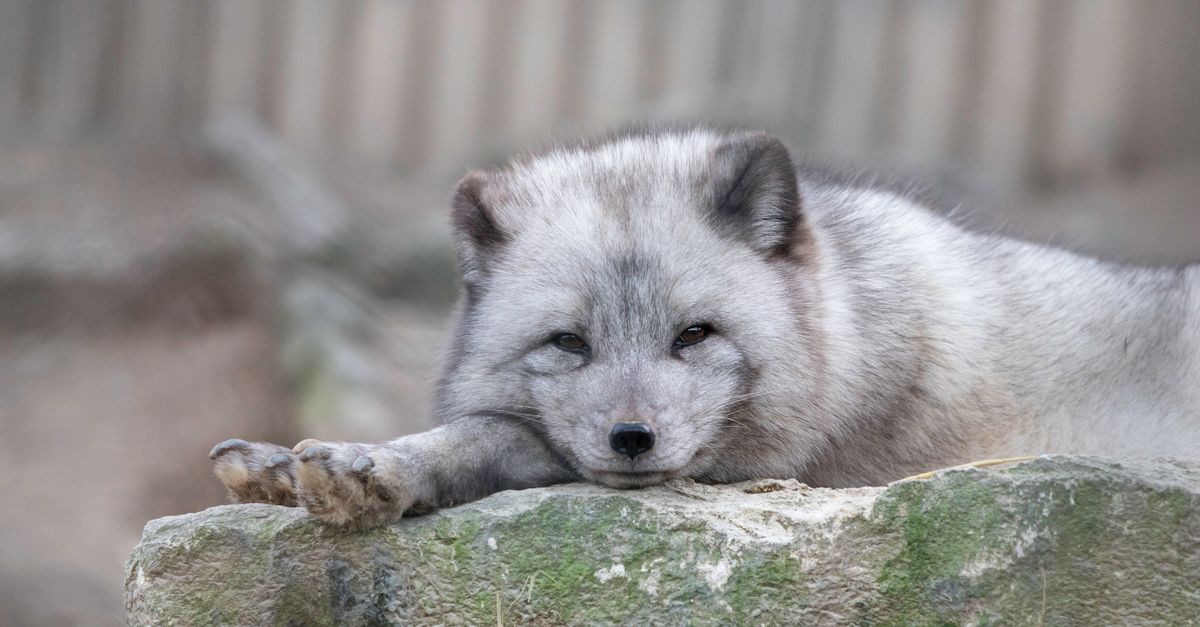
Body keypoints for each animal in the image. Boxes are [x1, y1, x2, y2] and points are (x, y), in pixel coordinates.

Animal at [210, 128, 1200, 529]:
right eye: (568, 342)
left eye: (694, 335)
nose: (632, 438)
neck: (856, 323)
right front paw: (285, 468)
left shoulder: (789, 468)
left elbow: (492, 436)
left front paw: (379, 466)